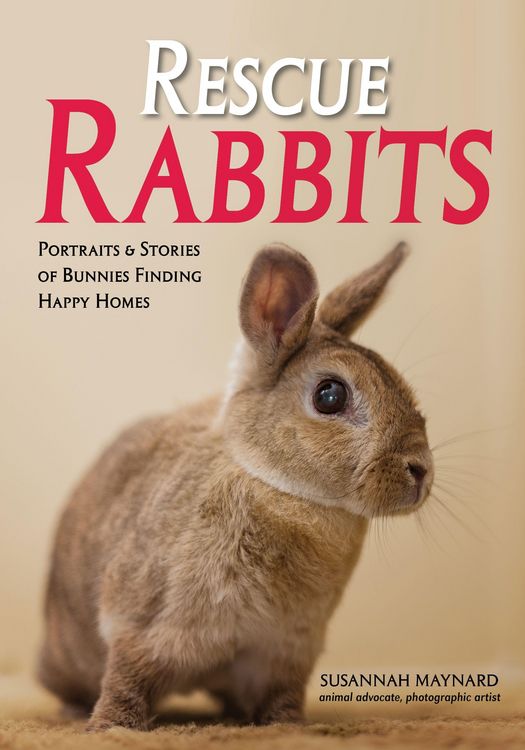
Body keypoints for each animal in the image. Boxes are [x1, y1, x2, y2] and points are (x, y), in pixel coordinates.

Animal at [38, 241, 434, 731]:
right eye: (330, 395)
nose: (421, 470)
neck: (276, 487)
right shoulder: (139, 625)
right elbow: (125, 680)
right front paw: (112, 728)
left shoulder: (285, 652)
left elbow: (282, 698)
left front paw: (289, 728)